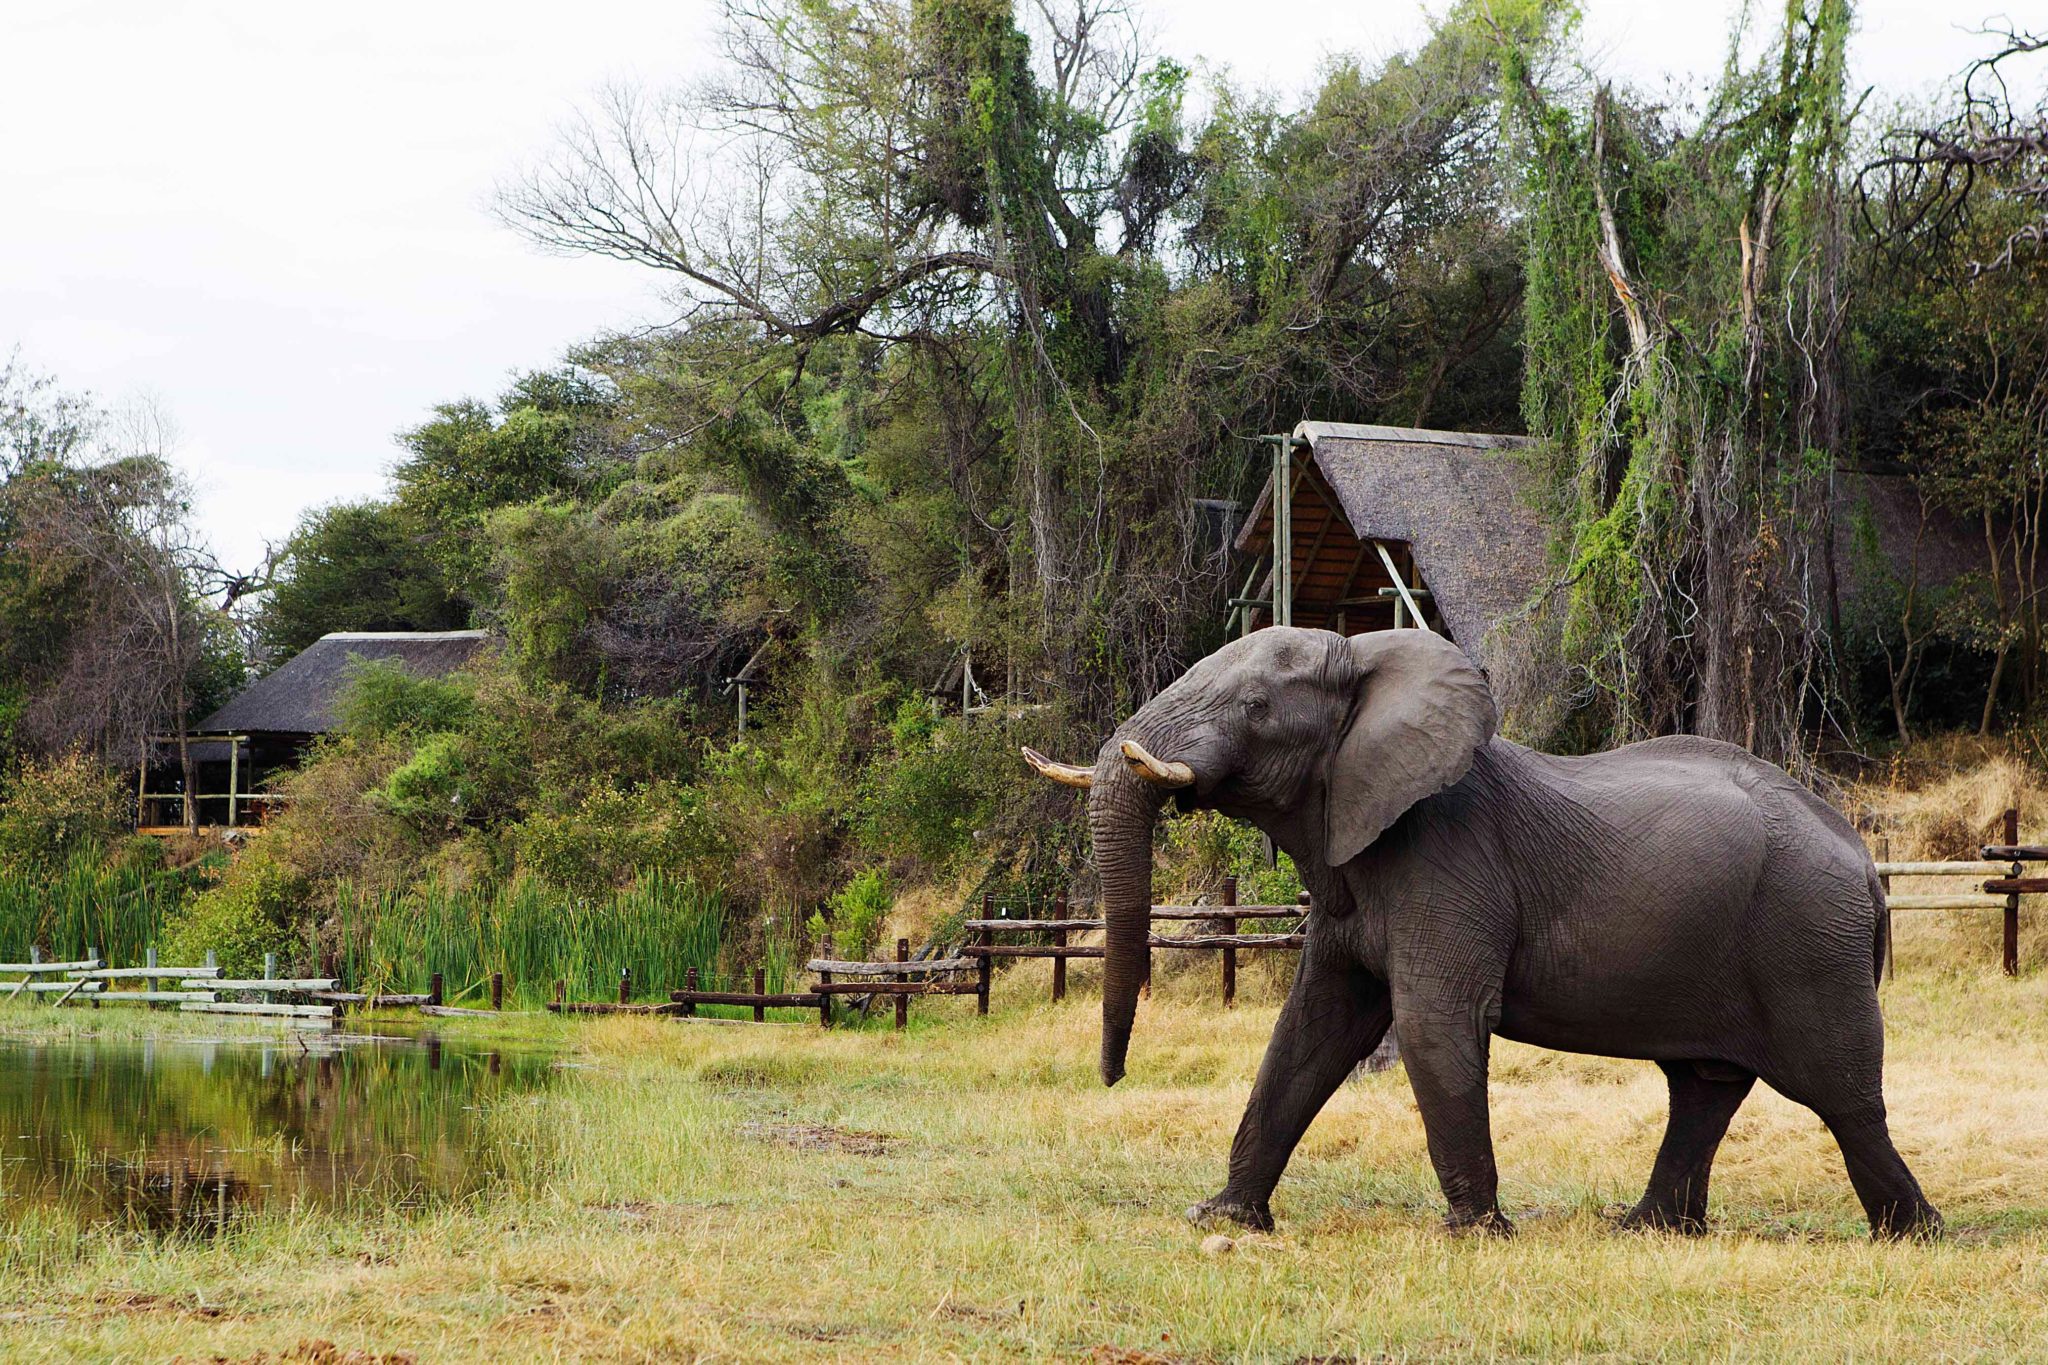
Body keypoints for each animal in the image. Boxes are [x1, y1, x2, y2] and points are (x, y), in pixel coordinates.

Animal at [1024, 626, 1933, 1236]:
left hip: (1808, 938)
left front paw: (1476, 1234)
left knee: (1842, 1091)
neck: (1369, 662)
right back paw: (1645, 1228)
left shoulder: (1447, 857)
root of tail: (1862, 858)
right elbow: (1310, 1030)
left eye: (1255, 707)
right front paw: (1221, 1217)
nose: (1112, 1077)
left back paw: (1912, 1234)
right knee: (1706, 1085)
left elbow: (1433, 1023)